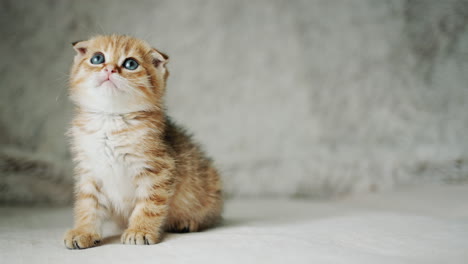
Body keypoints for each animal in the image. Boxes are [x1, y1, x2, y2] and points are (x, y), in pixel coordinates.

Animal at [63, 35, 223, 250]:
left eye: (130, 64)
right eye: (97, 58)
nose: (109, 69)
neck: (111, 120)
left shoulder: (158, 169)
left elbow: (149, 204)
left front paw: (140, 230)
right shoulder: (89, 171)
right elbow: (87, 205)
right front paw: (83, 231)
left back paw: (187, 222)